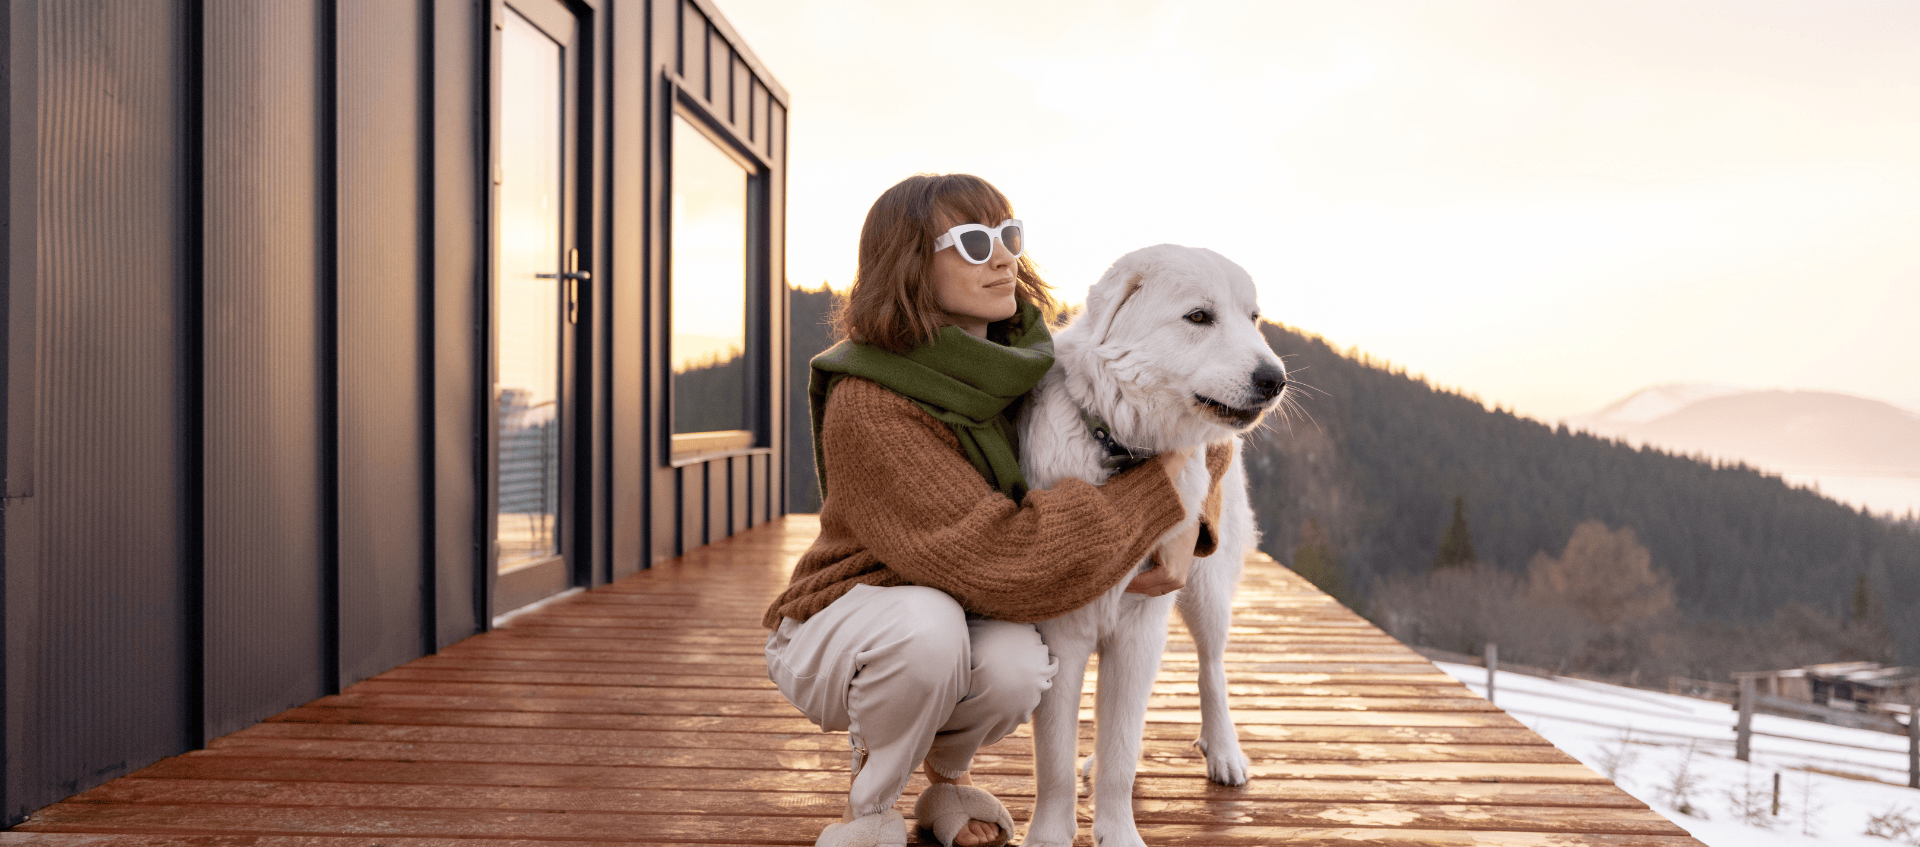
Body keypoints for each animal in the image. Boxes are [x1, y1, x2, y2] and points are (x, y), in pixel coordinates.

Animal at [1021, 242, 1290, 845]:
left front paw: (1118, 833)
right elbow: (1054, 761)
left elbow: (1122, 750)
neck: (1120, 452)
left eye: (1253, 318)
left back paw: (1225, 753)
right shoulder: (1061, 635)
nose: (1276, 378)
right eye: (1199, 317)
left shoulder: (1140, 627)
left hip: (1205, 592)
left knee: (1212, 669)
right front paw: (1051, 833)